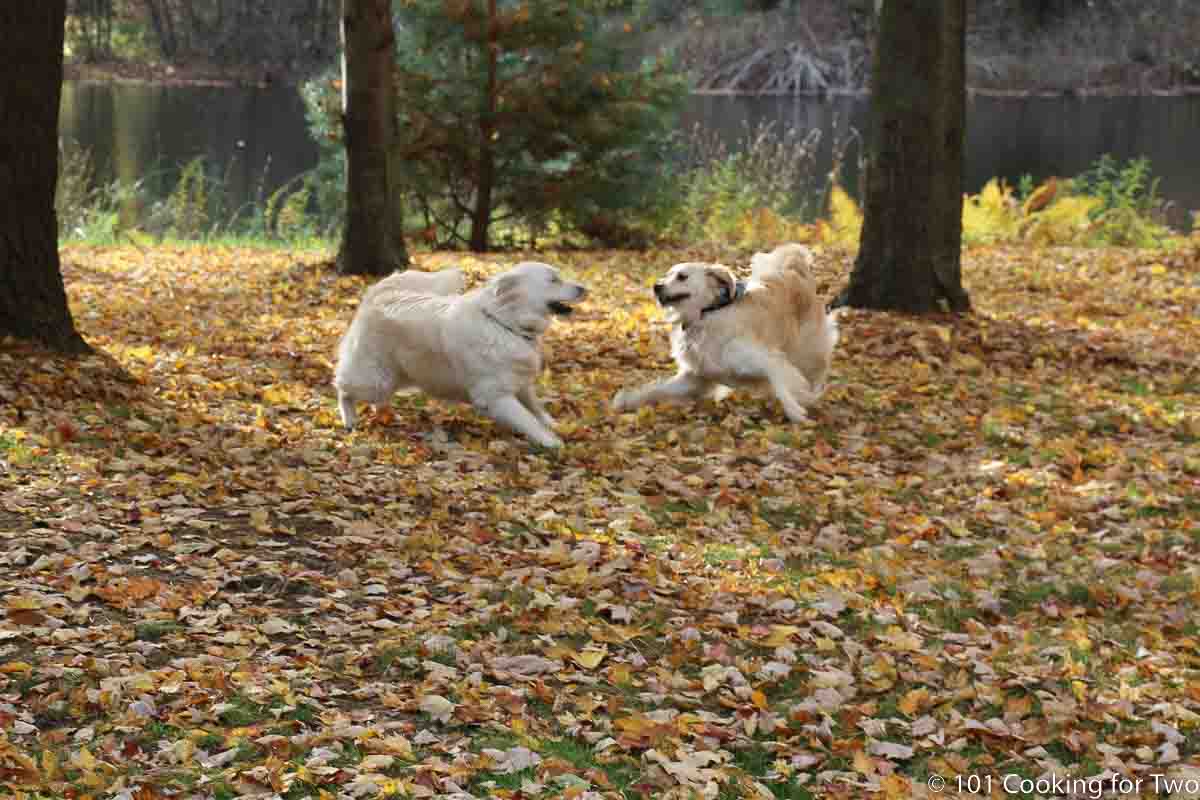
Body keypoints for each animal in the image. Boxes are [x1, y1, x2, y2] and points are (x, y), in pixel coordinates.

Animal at [333, 266, 585, 448]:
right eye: (553, 280)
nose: (583, 288)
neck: (504, 323)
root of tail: (379, 294)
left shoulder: (521, 383)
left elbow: (535, 407)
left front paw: (553, 424)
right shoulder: (495, 396)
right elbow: (527, 419)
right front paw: (550, 441)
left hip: (395, 377)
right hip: (375, 380)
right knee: (342, 387)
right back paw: (349, 420)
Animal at [614, 242, 840, 419]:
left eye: (682, 276)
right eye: (667, 274)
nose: (656, 286)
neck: (706, 314)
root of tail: (794, 271)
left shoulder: (764, 357)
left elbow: (780, 380)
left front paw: (795, 409)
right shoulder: (696, 378)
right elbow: (657, 390)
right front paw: (627, 401)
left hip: (808, 349)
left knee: (817, 370)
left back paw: (814, 394)